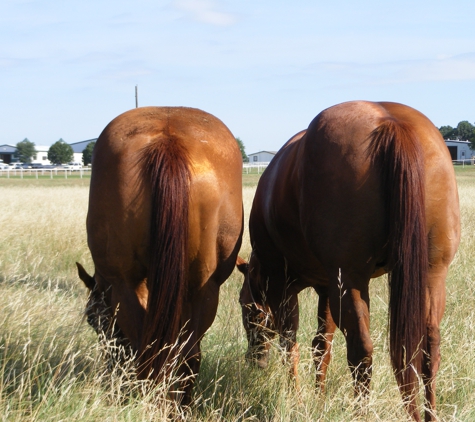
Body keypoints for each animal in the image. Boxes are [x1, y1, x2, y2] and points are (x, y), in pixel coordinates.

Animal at [77, 105, 244, 402]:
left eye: (93, 320)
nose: (110, 370)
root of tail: (168, 141)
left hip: (126, 285)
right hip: (202, 288)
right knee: (186, 354)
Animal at [238, 100, 462, 420]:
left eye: (245, 307)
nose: (254, 360)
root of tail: (391, 123)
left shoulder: (283, 287)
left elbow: (290, 344)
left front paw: (298, 399)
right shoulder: (327, 286)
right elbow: (321, 346)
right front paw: (318, 399)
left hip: (352, 280)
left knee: (361, 351)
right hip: (431, 276)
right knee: (429, 351)